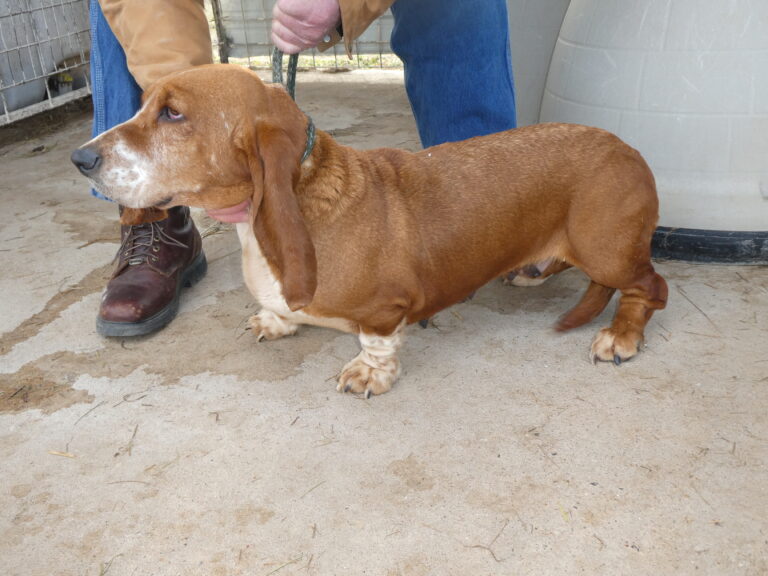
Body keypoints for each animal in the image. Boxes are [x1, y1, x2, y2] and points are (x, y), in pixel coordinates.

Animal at [72, 63, 664, 396]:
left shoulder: (384, 310)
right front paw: (278, 320)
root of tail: (630, 149)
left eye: (172, 114)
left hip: (605, 250)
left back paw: (620, 335)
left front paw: (368, 374)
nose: (80, 159)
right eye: (145, 104)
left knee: (649, 286)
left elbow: (377, 344)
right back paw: (533, 270)